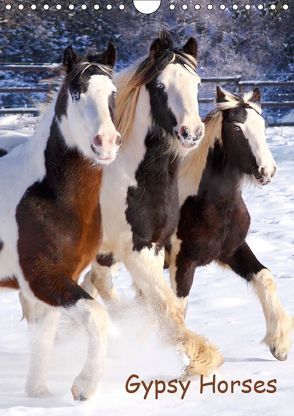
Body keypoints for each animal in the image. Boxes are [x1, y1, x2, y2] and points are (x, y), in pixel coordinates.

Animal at [0, 42, 120, 400]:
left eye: (112, 92)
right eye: (77, 92)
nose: (106, 142)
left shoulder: (55, 281)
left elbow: (43, 337)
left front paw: (38, 393)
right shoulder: (44, 279)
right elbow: (97, 315)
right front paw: (84, 386)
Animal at [80, 28, 223, 374]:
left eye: (197, 83)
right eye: (160, 86)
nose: (192, 132)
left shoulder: (153, 246)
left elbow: (158, 303)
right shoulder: (134, 248)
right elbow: (165, 305)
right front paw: (200, 357)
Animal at [167, 87, 292, 360]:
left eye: (263, 125)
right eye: (236, 128)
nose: (267, 171)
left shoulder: (232, 250)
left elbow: (265, 277)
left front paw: (279, 343)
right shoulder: (182, 262)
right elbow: (178, 310)